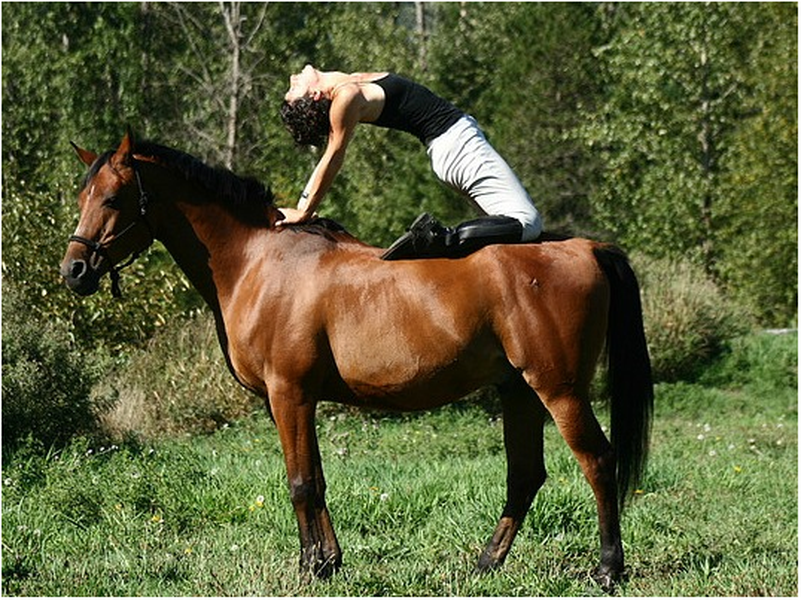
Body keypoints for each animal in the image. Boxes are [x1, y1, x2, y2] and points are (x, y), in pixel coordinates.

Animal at [61, 130, 648, 592]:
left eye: (112, 198)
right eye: (82, 194)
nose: (74, 270)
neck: (258, 262)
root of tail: (585, 248)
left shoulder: (289, 392)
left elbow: (300, 482)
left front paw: (311, 567)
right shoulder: (292, 400)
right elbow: (314, 478)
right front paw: (327, 562)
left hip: (559, 389)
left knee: (598, 462)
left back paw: (608, 569)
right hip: (519, 391)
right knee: (525, 476)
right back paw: (485, 564)